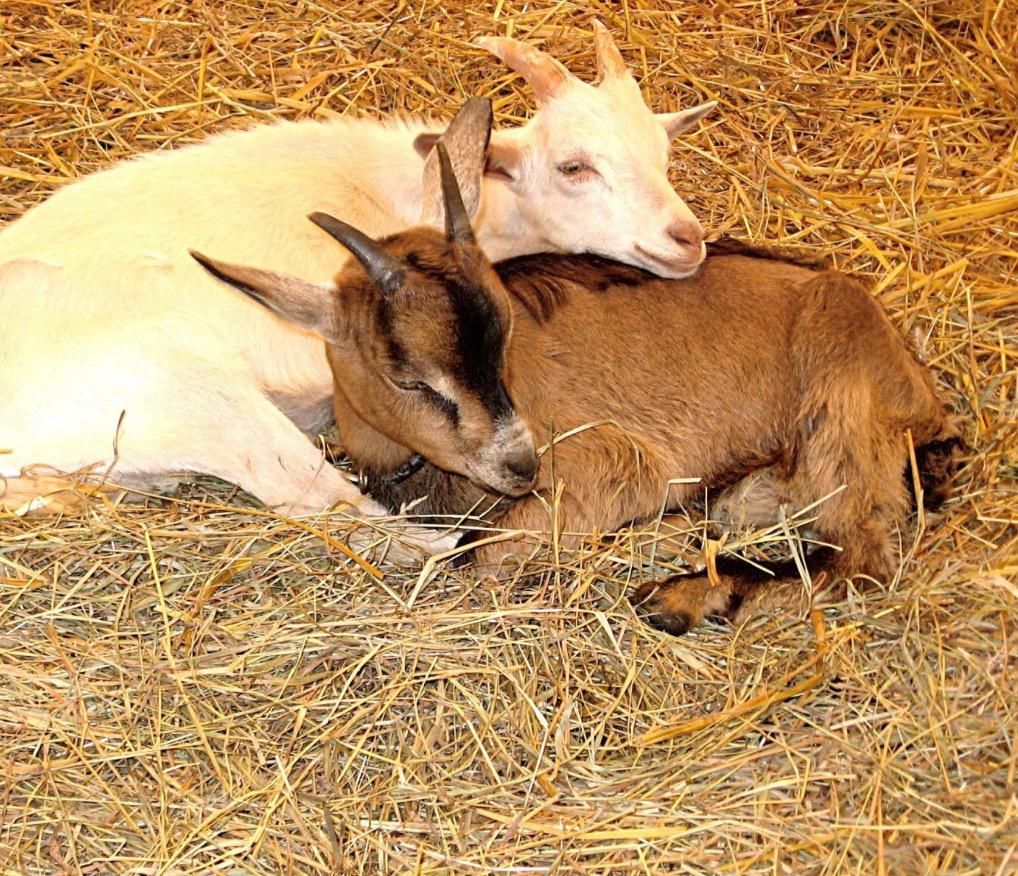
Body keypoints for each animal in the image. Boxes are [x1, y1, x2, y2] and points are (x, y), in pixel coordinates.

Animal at [199, 186, 962, 634]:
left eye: (507, 332)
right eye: (408, 379)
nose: (520, 465)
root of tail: (920, 391)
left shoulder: (615, 464)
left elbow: (481, 555)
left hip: (843, 398)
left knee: (858, 556)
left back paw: (680, 598)